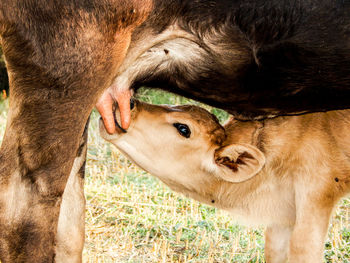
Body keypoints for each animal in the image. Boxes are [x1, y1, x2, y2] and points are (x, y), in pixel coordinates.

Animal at [100, 100, 350, 262]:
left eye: (183, 128)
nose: (130, 102)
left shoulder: (318, 192)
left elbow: (303, 249)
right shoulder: (284, 215)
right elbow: (275, 250)